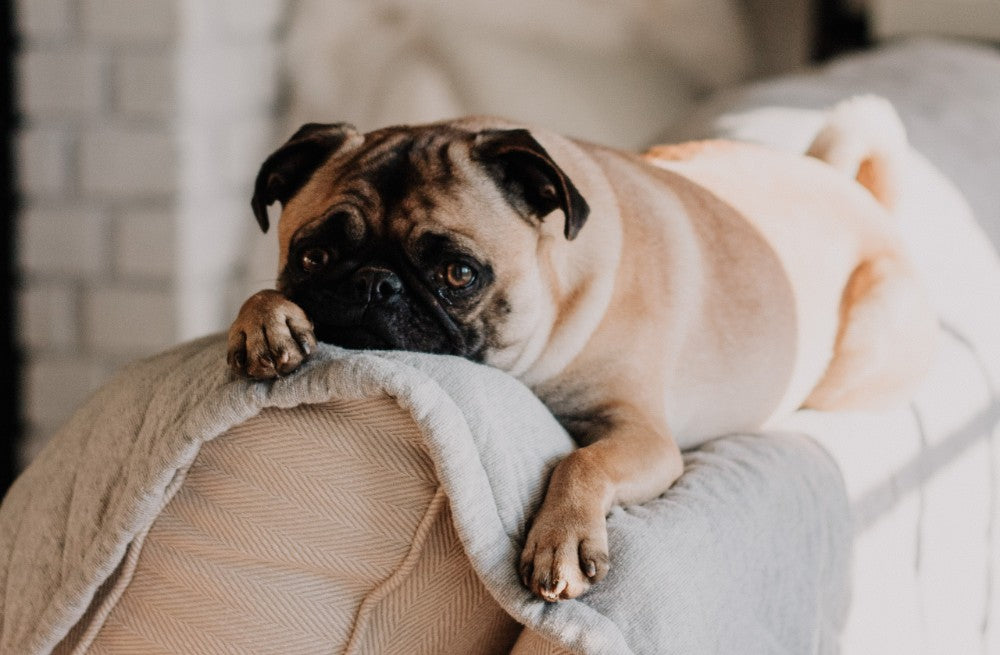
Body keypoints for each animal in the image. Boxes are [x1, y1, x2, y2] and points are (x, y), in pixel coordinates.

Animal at [227, 95, 936, 604]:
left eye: (459, 274)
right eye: (314, 257)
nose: (376, 285)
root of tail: (854, 191)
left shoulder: (644, 436)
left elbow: (581, 462)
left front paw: (561, 540)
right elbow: (261, 296)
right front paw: (264, 321)